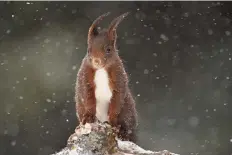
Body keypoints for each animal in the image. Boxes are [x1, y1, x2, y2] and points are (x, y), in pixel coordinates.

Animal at [74, 12, 138, 143]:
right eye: (88, 50)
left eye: (108, 49)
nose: (96, 61)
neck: (101, 70)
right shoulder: (84, 78)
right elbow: (88, 98)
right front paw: (88, 118)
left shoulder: (119, 78)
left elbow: (117, 101)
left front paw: (113, 122)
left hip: (128, 111)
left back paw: (122, 132)